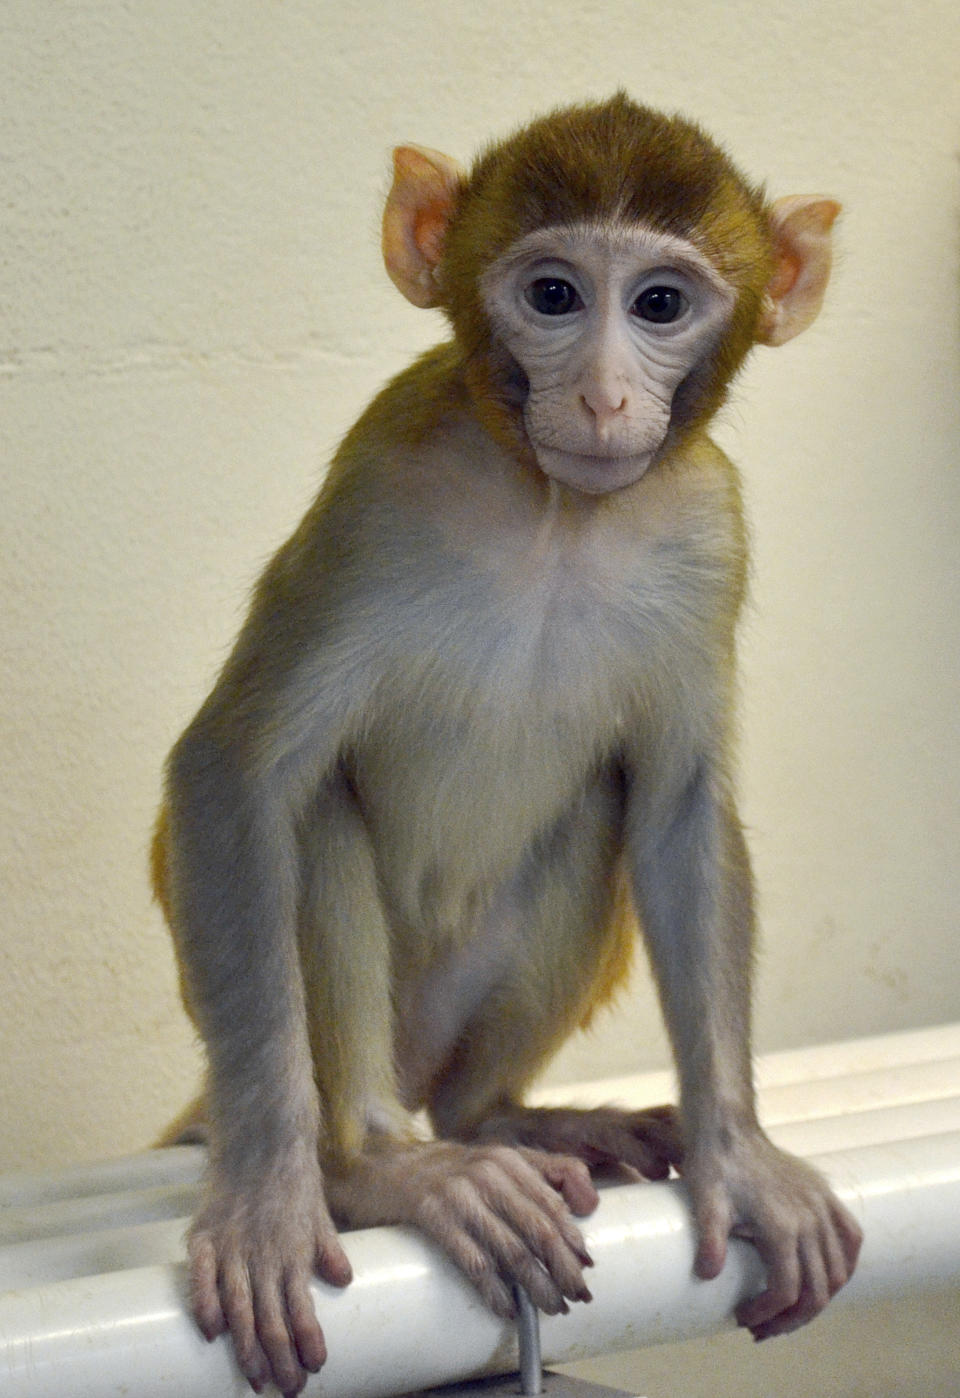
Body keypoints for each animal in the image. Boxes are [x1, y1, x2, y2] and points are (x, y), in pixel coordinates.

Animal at [152, 92, 866, 1392]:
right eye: (552, 295)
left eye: (659, 304)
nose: (602, 398)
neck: (556, 516)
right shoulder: (377, 488)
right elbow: (236, 774)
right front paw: (272, 1198)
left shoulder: (712, 529)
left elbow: (677, 807)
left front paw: (739, 1154)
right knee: (315, 809)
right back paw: (375, 1165)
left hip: (461, 1026)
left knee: (600, 811)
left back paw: (504, 1117)